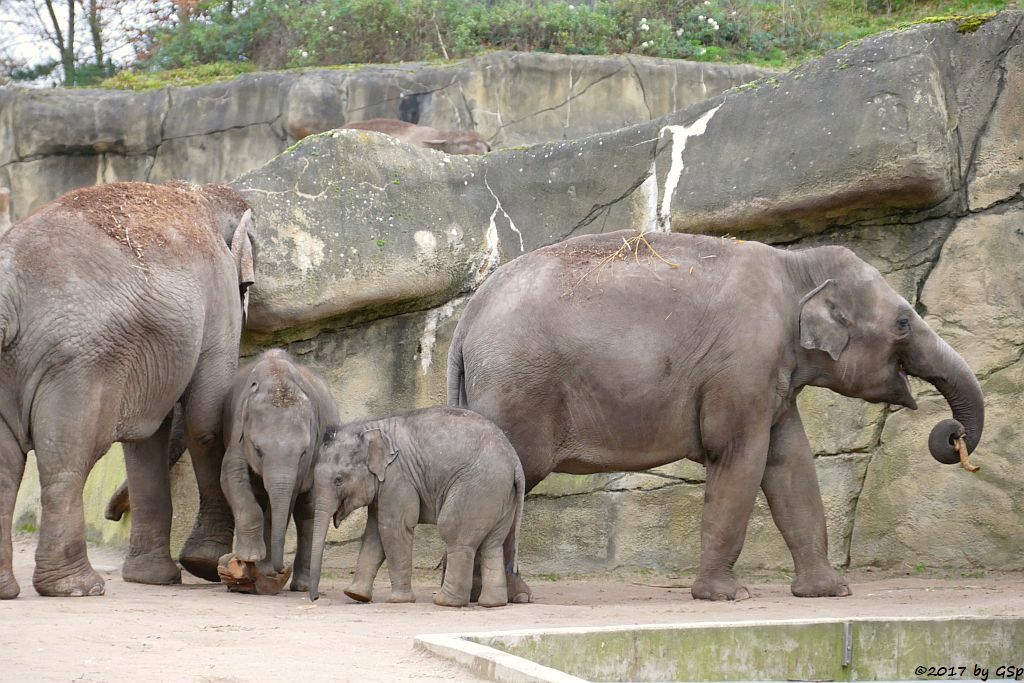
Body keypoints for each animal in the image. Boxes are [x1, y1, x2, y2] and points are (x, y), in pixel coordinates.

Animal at [0, 181, 254, 598]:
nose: (111, 514)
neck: (200, 192)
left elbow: (147, 442)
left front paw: (152, 578)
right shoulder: (220, 298)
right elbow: (205, 422)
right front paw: (203, 565)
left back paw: (11, 590)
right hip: (78, 362)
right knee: (67, 457)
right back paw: (79, 588)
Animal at [307, 405, 524, 610]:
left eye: (338, 480)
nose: (315, 598)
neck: (371, 428)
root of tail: (514, 460)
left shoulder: (398, 477)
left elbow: (393, 528)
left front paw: (398, 600)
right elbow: (374, 533)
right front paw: (356, 595)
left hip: (476, 486)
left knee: (454, 533)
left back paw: (445, 602)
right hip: (501, 494)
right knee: (493, 543)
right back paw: (492, 603)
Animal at [448, 229, 983, 602]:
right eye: (903, 323)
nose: (952, 435)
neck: (797, 267)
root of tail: (466, 320)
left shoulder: (772, 379)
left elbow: (791, 465)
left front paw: (828, 592)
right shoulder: (742, 367)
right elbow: (739, 457)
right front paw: (728, 596)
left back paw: (480, 595)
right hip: (518, 390)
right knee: (513, 479)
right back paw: (511, 597)